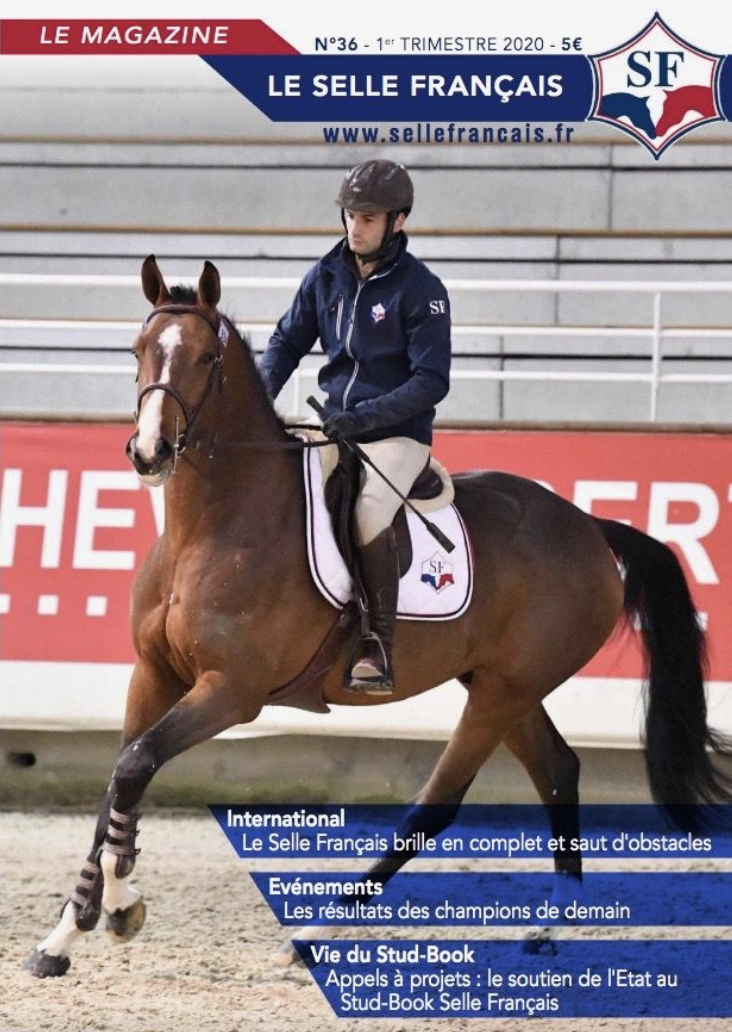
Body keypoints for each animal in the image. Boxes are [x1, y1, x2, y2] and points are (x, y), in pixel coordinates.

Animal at [22, 255, 730, 974]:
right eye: (138, 350)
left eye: (203, 357)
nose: (149, 451)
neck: (212, 526)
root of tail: (588, 525)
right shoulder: (153, 674)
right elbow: (119, 777)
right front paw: (70, 930)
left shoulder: (231, 691)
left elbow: (136, 764)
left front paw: (117, 906)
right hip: (504, 684)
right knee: (559, 772)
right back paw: (551, 926)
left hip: (502, 692)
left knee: (435, 806)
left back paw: (312, 935)